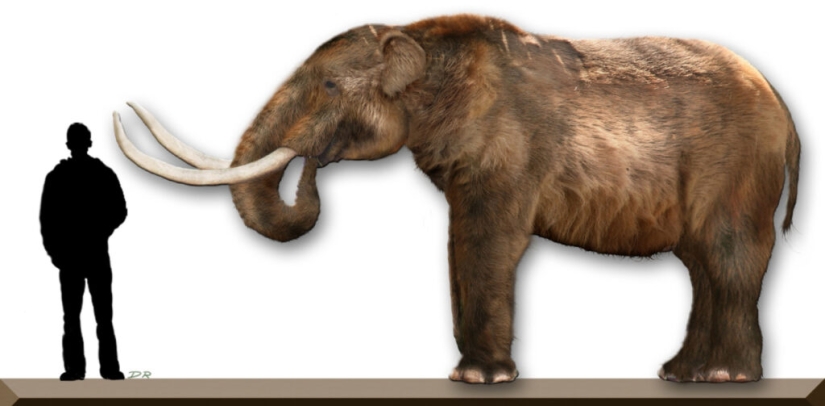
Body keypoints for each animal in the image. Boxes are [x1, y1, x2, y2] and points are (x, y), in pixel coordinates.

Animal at [113, 14, 800, 384]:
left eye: (329, 86)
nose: (312, 167)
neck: (414, 35)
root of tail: (788, 117)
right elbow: (457, 241)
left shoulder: (511, 150)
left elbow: (488, 240)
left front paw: (478, 380)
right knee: (704, 266)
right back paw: (681, 374)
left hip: (737, 169)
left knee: (728, 259)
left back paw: (723, 378)